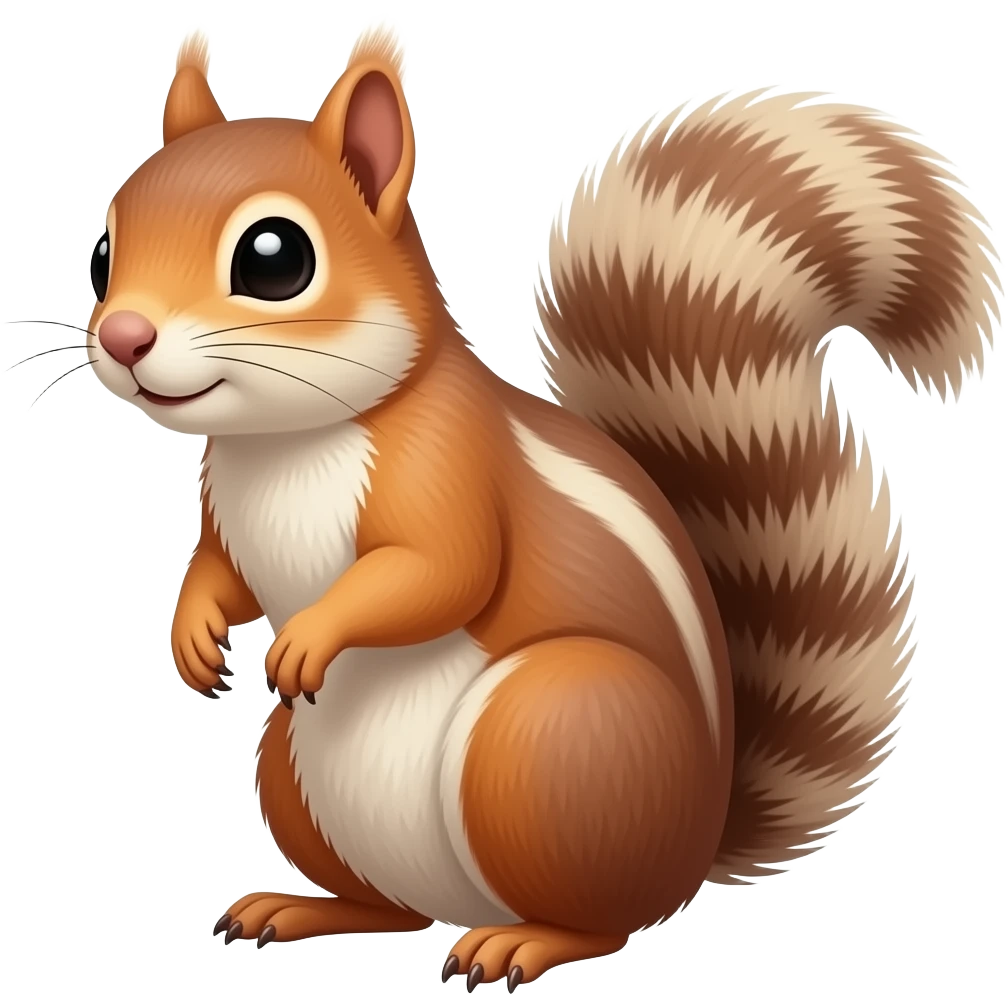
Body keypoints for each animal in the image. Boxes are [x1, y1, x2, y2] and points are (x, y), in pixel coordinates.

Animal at [84, 16, 1001, 990]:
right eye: (102, 254)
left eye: (275, 258)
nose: (124, 337)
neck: (288, 442)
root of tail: (696, 845)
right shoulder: (224, 508)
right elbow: (221, 572)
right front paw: (192, 636)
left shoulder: (450, 469)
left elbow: (441, 573)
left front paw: (308, 636)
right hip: (296, 772)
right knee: (394, 910)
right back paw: (304, 908)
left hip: (548, 741)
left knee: (608, 919)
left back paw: (524, 943)